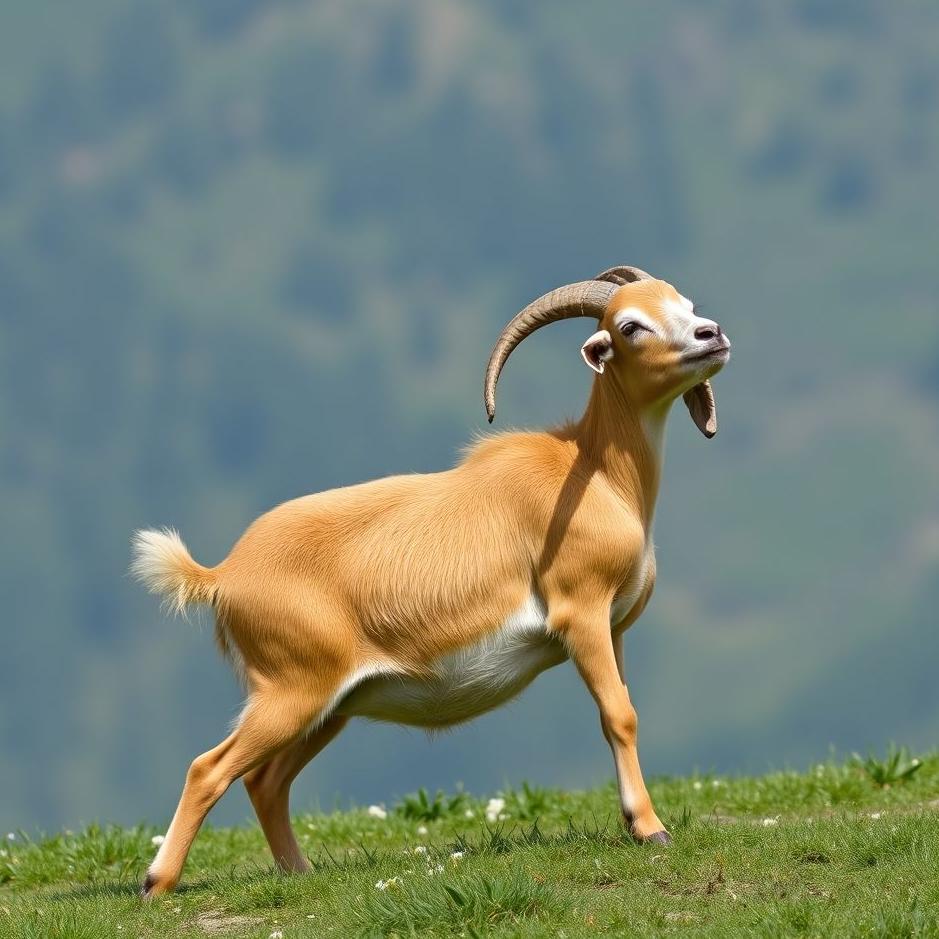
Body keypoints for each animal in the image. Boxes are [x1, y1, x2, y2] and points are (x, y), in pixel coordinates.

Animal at [132, 265, 730, 897]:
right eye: (630, 325)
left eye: (684, 303)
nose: (711, 335)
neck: (594, 470)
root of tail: (221, 575)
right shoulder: (581, 614)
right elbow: (621, 715)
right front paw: (652, 830)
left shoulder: (612, 630)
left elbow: (612, 717)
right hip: (288, 694)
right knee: (209, 769)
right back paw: (155, 884)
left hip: (328, 704)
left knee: (265, 780)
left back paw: (300, 872)